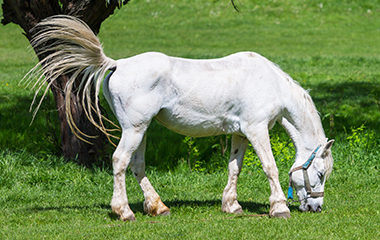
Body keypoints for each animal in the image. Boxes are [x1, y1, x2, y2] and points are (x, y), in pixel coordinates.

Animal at [25, 15, 332, 221]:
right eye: (319, 173)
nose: (316, 207)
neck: (271, 83)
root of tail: (117, 64)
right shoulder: (257, 130)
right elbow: (270, 168)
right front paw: (279, 208)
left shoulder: (240, 133)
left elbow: (234, 168)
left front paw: (232, 205)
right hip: (134, 129)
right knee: (120, 161)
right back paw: (124, 211)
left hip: (141, 130)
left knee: (137, 165)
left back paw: (158, 207)